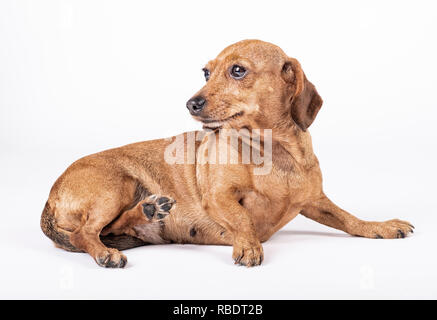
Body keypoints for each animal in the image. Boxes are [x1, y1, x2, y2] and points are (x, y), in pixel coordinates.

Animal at [41, 40, 412, 270]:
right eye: (206, 72)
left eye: (237, 70)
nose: (191, 103)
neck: (273, 153)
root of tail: (50, 196)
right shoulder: (219, 197)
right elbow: (243, 218)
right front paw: (248, 245)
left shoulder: (315, 201)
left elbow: (350, 219)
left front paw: (381, 226)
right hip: (118, 184)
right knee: (85, 233)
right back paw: (107, 253)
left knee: (111, 226)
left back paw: (148, 211)